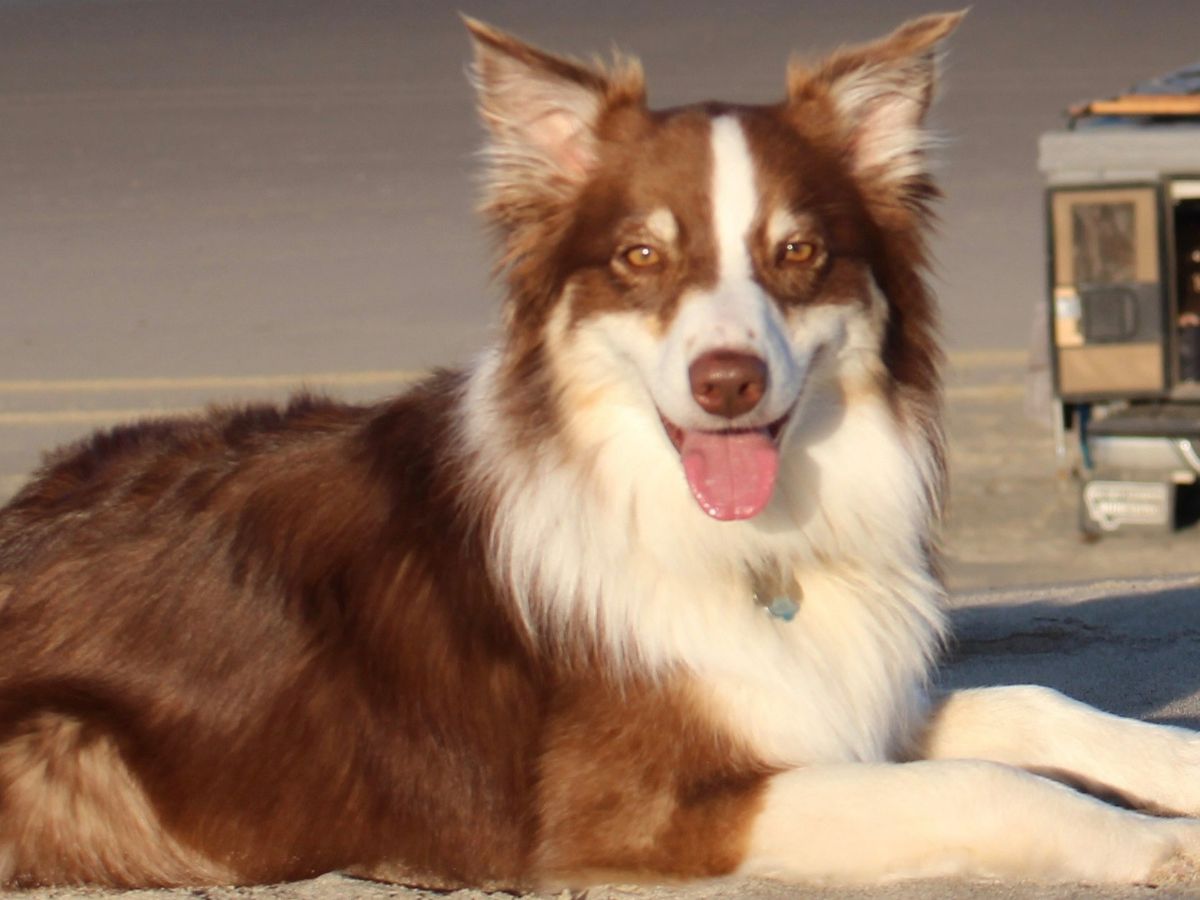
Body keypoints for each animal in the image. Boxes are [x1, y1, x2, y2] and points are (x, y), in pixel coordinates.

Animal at [4, 12, 1200, 891]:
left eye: (797, 252)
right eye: (639, 258)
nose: (729, 382)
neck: (739, 542)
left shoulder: (839, 701)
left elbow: (1036, 706)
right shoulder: (631, 809)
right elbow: (988, 784)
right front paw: (1156, 842)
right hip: (76, 760)